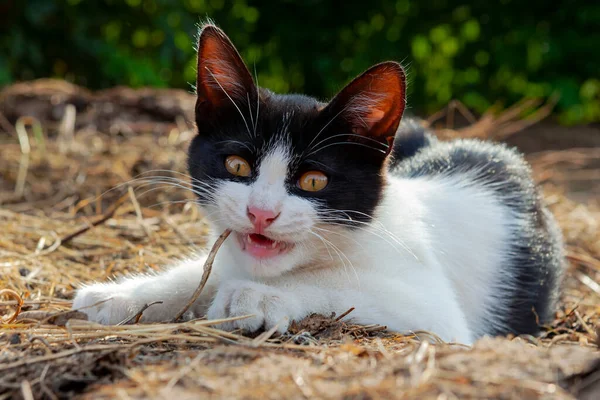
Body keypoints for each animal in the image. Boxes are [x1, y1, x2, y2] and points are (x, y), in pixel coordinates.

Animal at [72, 23, 564, 346]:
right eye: (237, 166)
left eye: (313, 180)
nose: (261, 213)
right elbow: (199, 272)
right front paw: (121, 296)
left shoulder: (438, 313)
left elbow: (346, 289)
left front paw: (256, 296)